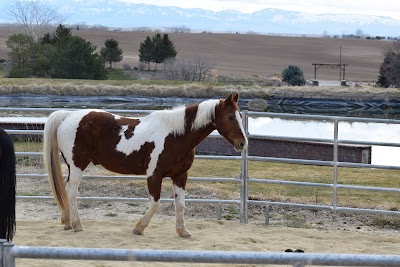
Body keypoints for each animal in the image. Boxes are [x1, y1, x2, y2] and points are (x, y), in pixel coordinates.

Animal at [43, 94, 247, 239]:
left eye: (239, 116)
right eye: (230, 116)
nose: (243, 143)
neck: (175, 136)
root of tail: (68, 116)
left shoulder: (180, 176)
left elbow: (180, 204)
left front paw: (183, 231)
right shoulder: (154, 175)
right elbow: (155, 204)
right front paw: (139, 228)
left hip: (72, 167)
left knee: (66, 190)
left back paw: (67, 222)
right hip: (77, 166)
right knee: (72, 192)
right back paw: (77, 225)